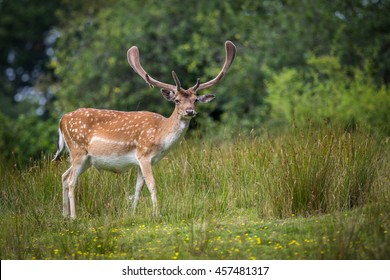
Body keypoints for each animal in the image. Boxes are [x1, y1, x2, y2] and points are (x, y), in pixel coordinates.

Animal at [53, 40, 236, 219]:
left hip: (86, 159)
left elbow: (138, 188)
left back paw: (65, 215)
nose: (190, 112)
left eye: (195, 100)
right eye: (176, 100)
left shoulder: (142, 161)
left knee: (64, 176)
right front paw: (157, 214)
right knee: (71, 180)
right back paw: (74, 217)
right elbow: (152, 184)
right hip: (78, 150)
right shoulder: (144, 154)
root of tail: (62, 120)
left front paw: (132, 213)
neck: (161, 135)